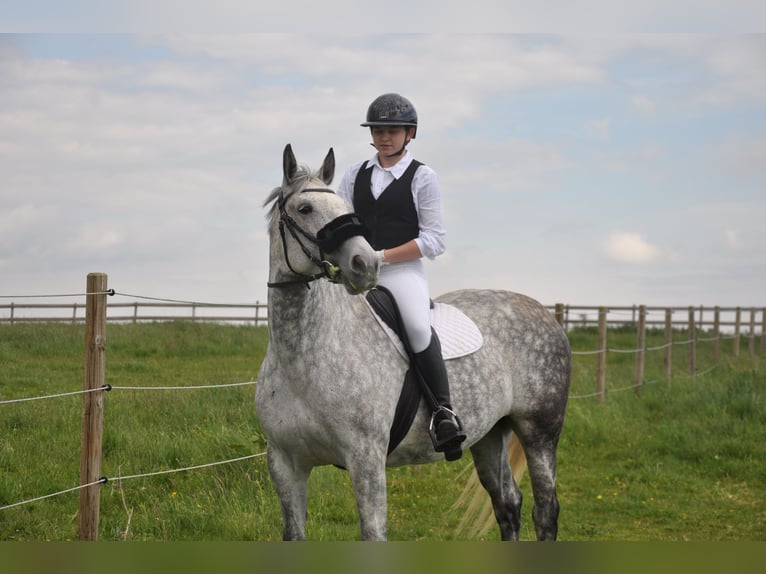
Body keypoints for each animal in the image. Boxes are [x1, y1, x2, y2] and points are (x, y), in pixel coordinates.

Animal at [255, 144, 571, 541]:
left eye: (344, 209)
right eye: (305, 208)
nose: (364, 264)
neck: (304, 359)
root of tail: (543, 312)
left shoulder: (366, 459)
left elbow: (373, 534)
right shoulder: (285, 463)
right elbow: (295, 534)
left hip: (539, 432)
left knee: (546, 511)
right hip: (488, 433)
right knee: (508, 505)